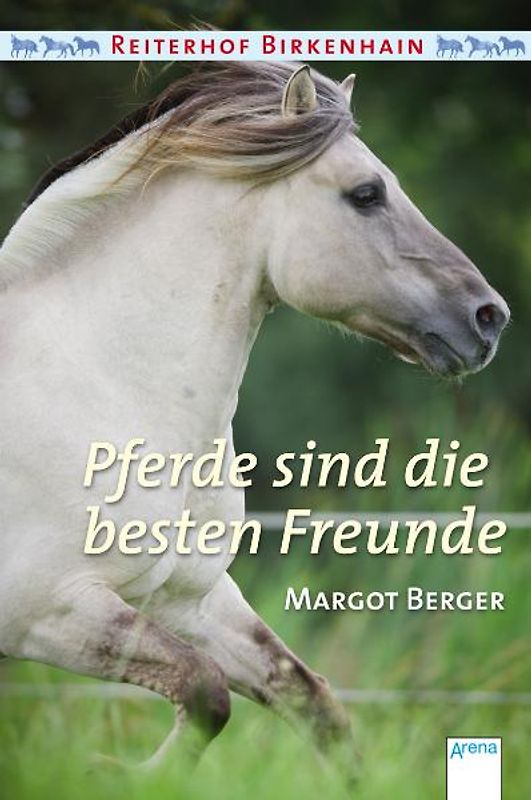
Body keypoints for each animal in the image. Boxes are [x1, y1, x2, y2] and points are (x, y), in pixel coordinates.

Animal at [0, 62, 509, 778]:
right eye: (366, 194)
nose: (489, 317)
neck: (105, 384)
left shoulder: (191, 597)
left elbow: (311, 701)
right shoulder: (45, 609)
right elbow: (205, 692)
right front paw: (114, 773)